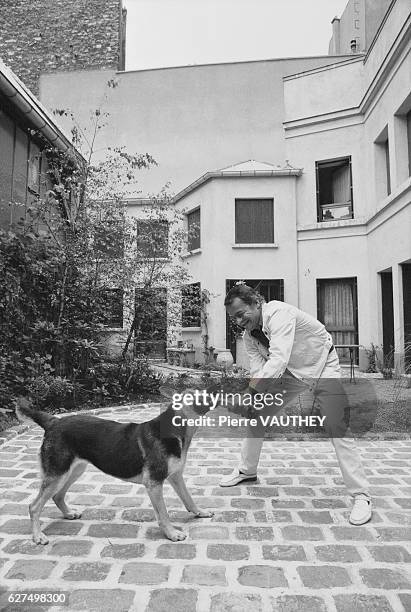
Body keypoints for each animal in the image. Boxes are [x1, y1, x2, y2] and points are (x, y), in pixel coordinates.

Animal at [15, 390, 216, 544]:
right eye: (200, 396)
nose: (217, 393)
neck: (177, 428)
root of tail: (53, 422)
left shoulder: (175, 476)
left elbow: (188, 498)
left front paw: (200, 513)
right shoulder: (154, 482)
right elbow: (163, 514)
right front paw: (172, 534)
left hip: (73, 470)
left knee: (57, 496)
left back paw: (68, 513)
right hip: (58, 473)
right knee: (34, 506)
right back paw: (38, 536)